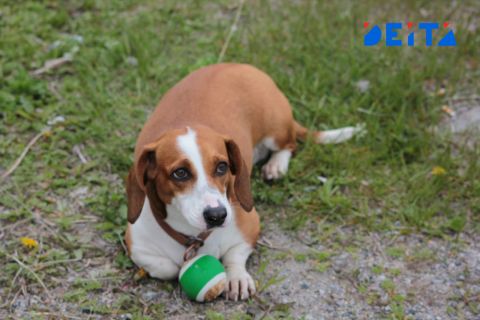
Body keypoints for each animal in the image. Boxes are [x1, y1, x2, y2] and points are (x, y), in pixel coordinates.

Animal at [125, 64, 362, 300]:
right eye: (180, 173)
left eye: (222, 167)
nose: (217, 215)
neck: (194, 234)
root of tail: (240, 65)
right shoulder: (137, 246)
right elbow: (168, 268)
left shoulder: (249, 226)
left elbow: (235, 254)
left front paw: (236, 277)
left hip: (276, 130)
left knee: (290, 144)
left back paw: (276, 165)